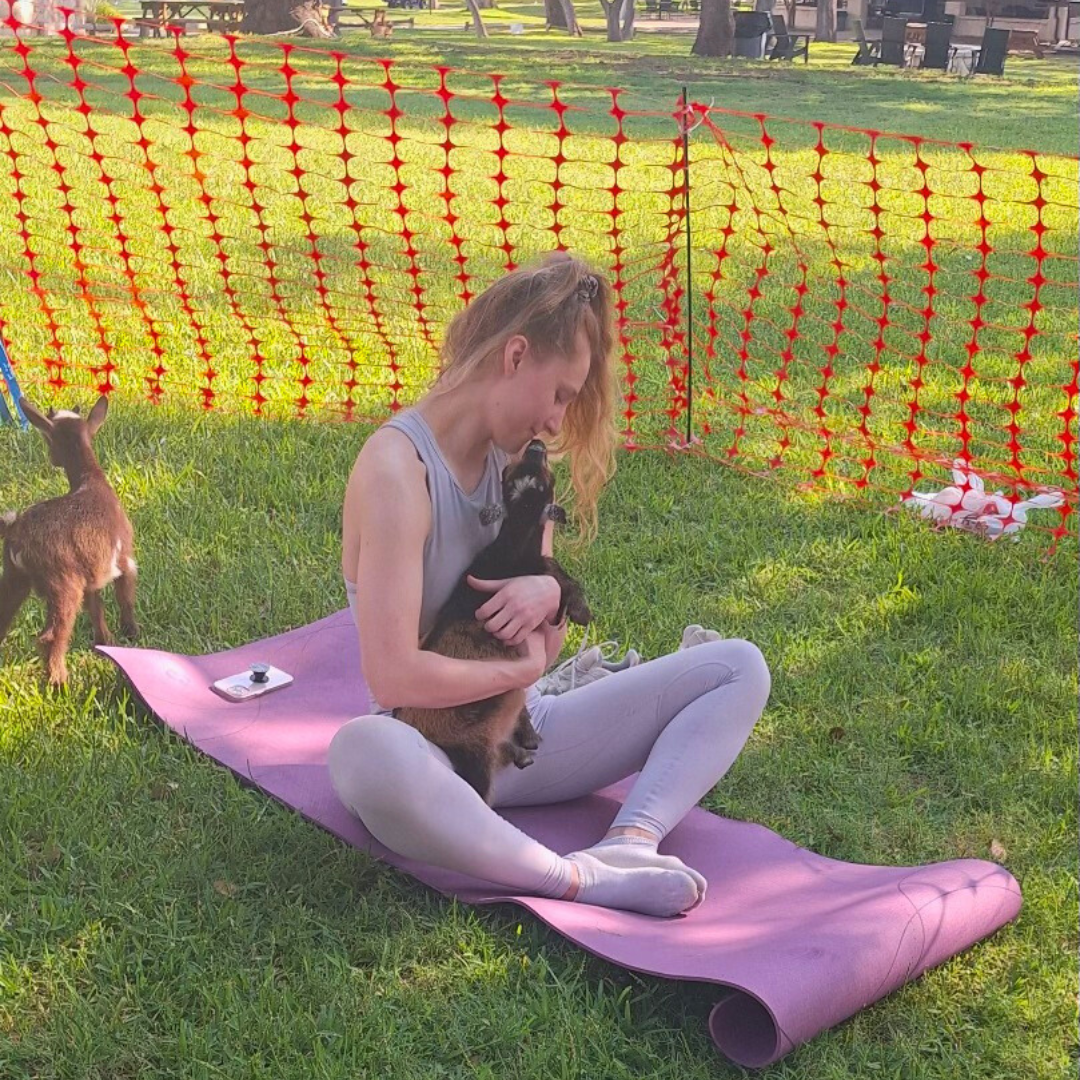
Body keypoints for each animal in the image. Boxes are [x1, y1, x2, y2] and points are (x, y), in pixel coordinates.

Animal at [0, 396, 137, 686]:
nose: (52, 460)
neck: (92, 481)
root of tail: (16, 532)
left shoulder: (92, 573)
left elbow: (96, 607)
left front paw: (104, 642)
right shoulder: (125, 559)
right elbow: (125, 598)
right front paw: (131, 633)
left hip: (15, 576)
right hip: (63, 583)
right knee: (51, 636)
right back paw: (59, 682)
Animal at [394, 439, 592, 804]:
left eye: (541, 479)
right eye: (508, 475)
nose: (537, 445)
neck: (512, 549)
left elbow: (555, 572)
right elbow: (556, 576)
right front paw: (582, 611)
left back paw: (525, 747)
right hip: (471, 745)